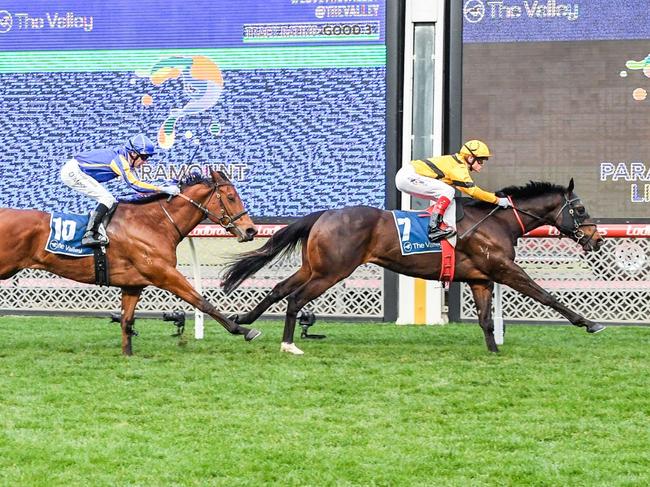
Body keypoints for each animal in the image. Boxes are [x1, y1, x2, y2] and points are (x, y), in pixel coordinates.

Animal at [2, 171, 260, 354]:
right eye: (231, 197)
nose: (251, 230)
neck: (153, 224)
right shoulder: (164, 274)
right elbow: (202, 302)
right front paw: (244, 330)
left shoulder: (133, 284)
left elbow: (126, 322)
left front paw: (127, 355)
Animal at [221, 179, 604, 354]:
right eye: (580, 209)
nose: (597, 238)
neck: (499, 222)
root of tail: (325, 214)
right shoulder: (505, 270)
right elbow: (546, 296)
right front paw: (589, 323)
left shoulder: (481, 278)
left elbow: (484, 319)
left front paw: (494, 351)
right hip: (332, 271)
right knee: (295, 299)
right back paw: (288, 344)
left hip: (315, 267)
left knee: (278, 290)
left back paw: (245, 321)